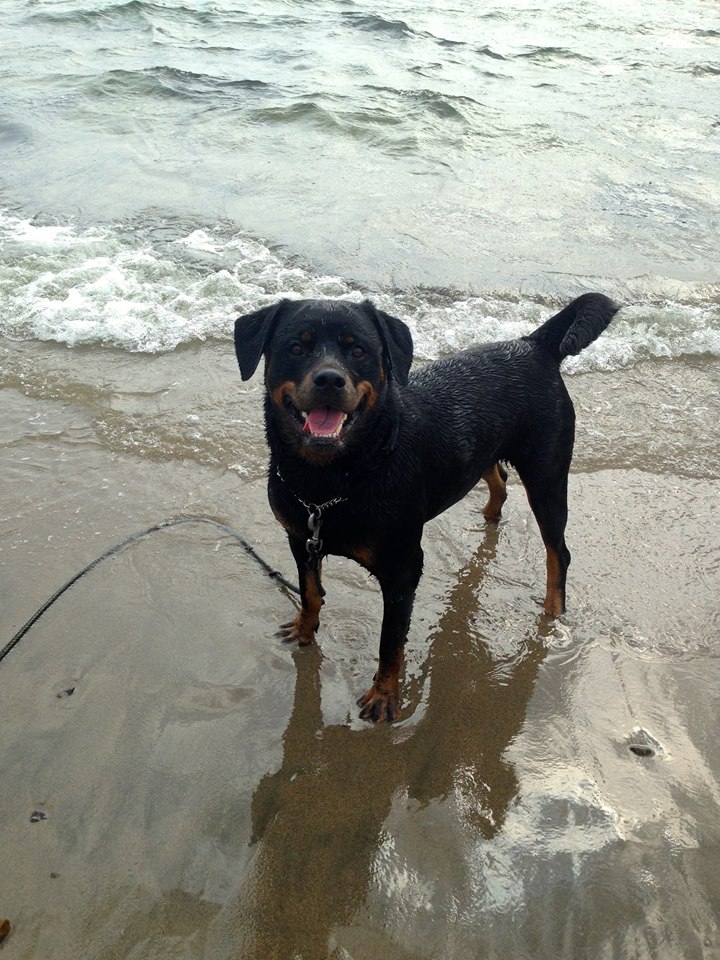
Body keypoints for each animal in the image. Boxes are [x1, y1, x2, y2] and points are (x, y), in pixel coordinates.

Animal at [235, 292, 620, 720]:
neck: (334, 478)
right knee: (498, 478)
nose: (330, 379)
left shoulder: (402, 569)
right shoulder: (301, 538)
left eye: (358, 350)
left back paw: (552, 611)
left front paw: (384, 695)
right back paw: (490, 516)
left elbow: (390, 641)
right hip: (483, 452)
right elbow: (309, 591)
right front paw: (304, 628)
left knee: (558, 552)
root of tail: (536, 345)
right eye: (296, 348)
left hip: (547, 476)